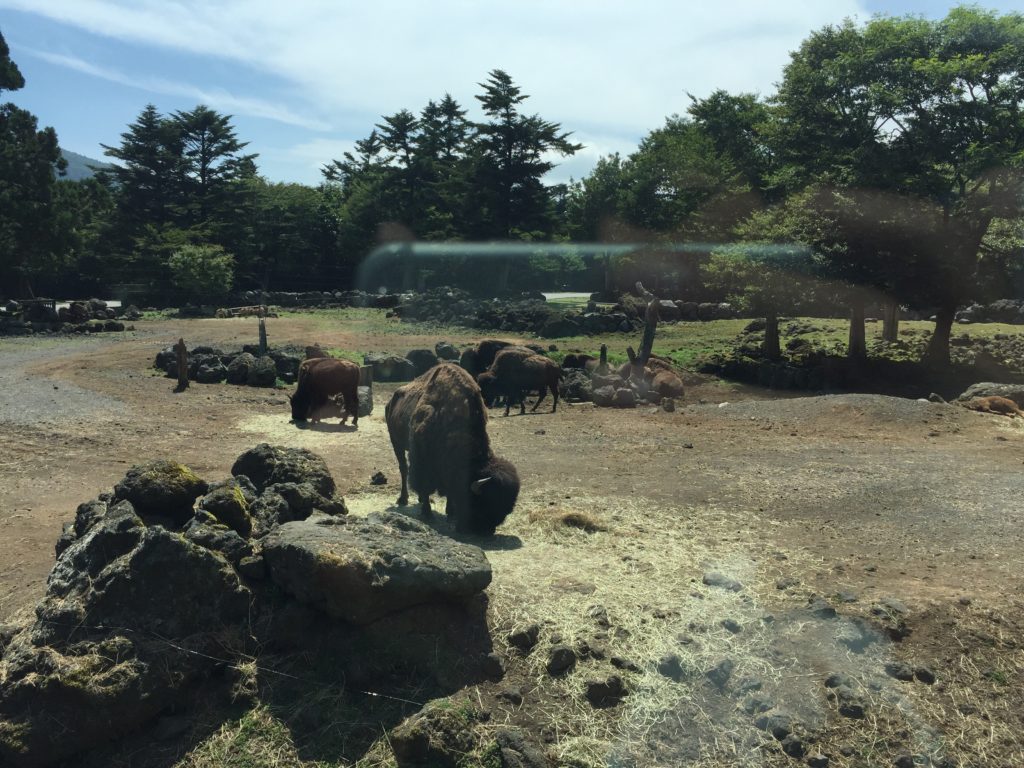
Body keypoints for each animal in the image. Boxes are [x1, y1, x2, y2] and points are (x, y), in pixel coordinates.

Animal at [387, 364, 524, 536]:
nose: (486, 531)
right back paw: (403, 499)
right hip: (396, 442)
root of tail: (391, 400)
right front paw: (427, 513)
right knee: (403, 469)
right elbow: (424, 484)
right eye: (481, 505)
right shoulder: (422, 459)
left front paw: (450, 512)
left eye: (505, 511)